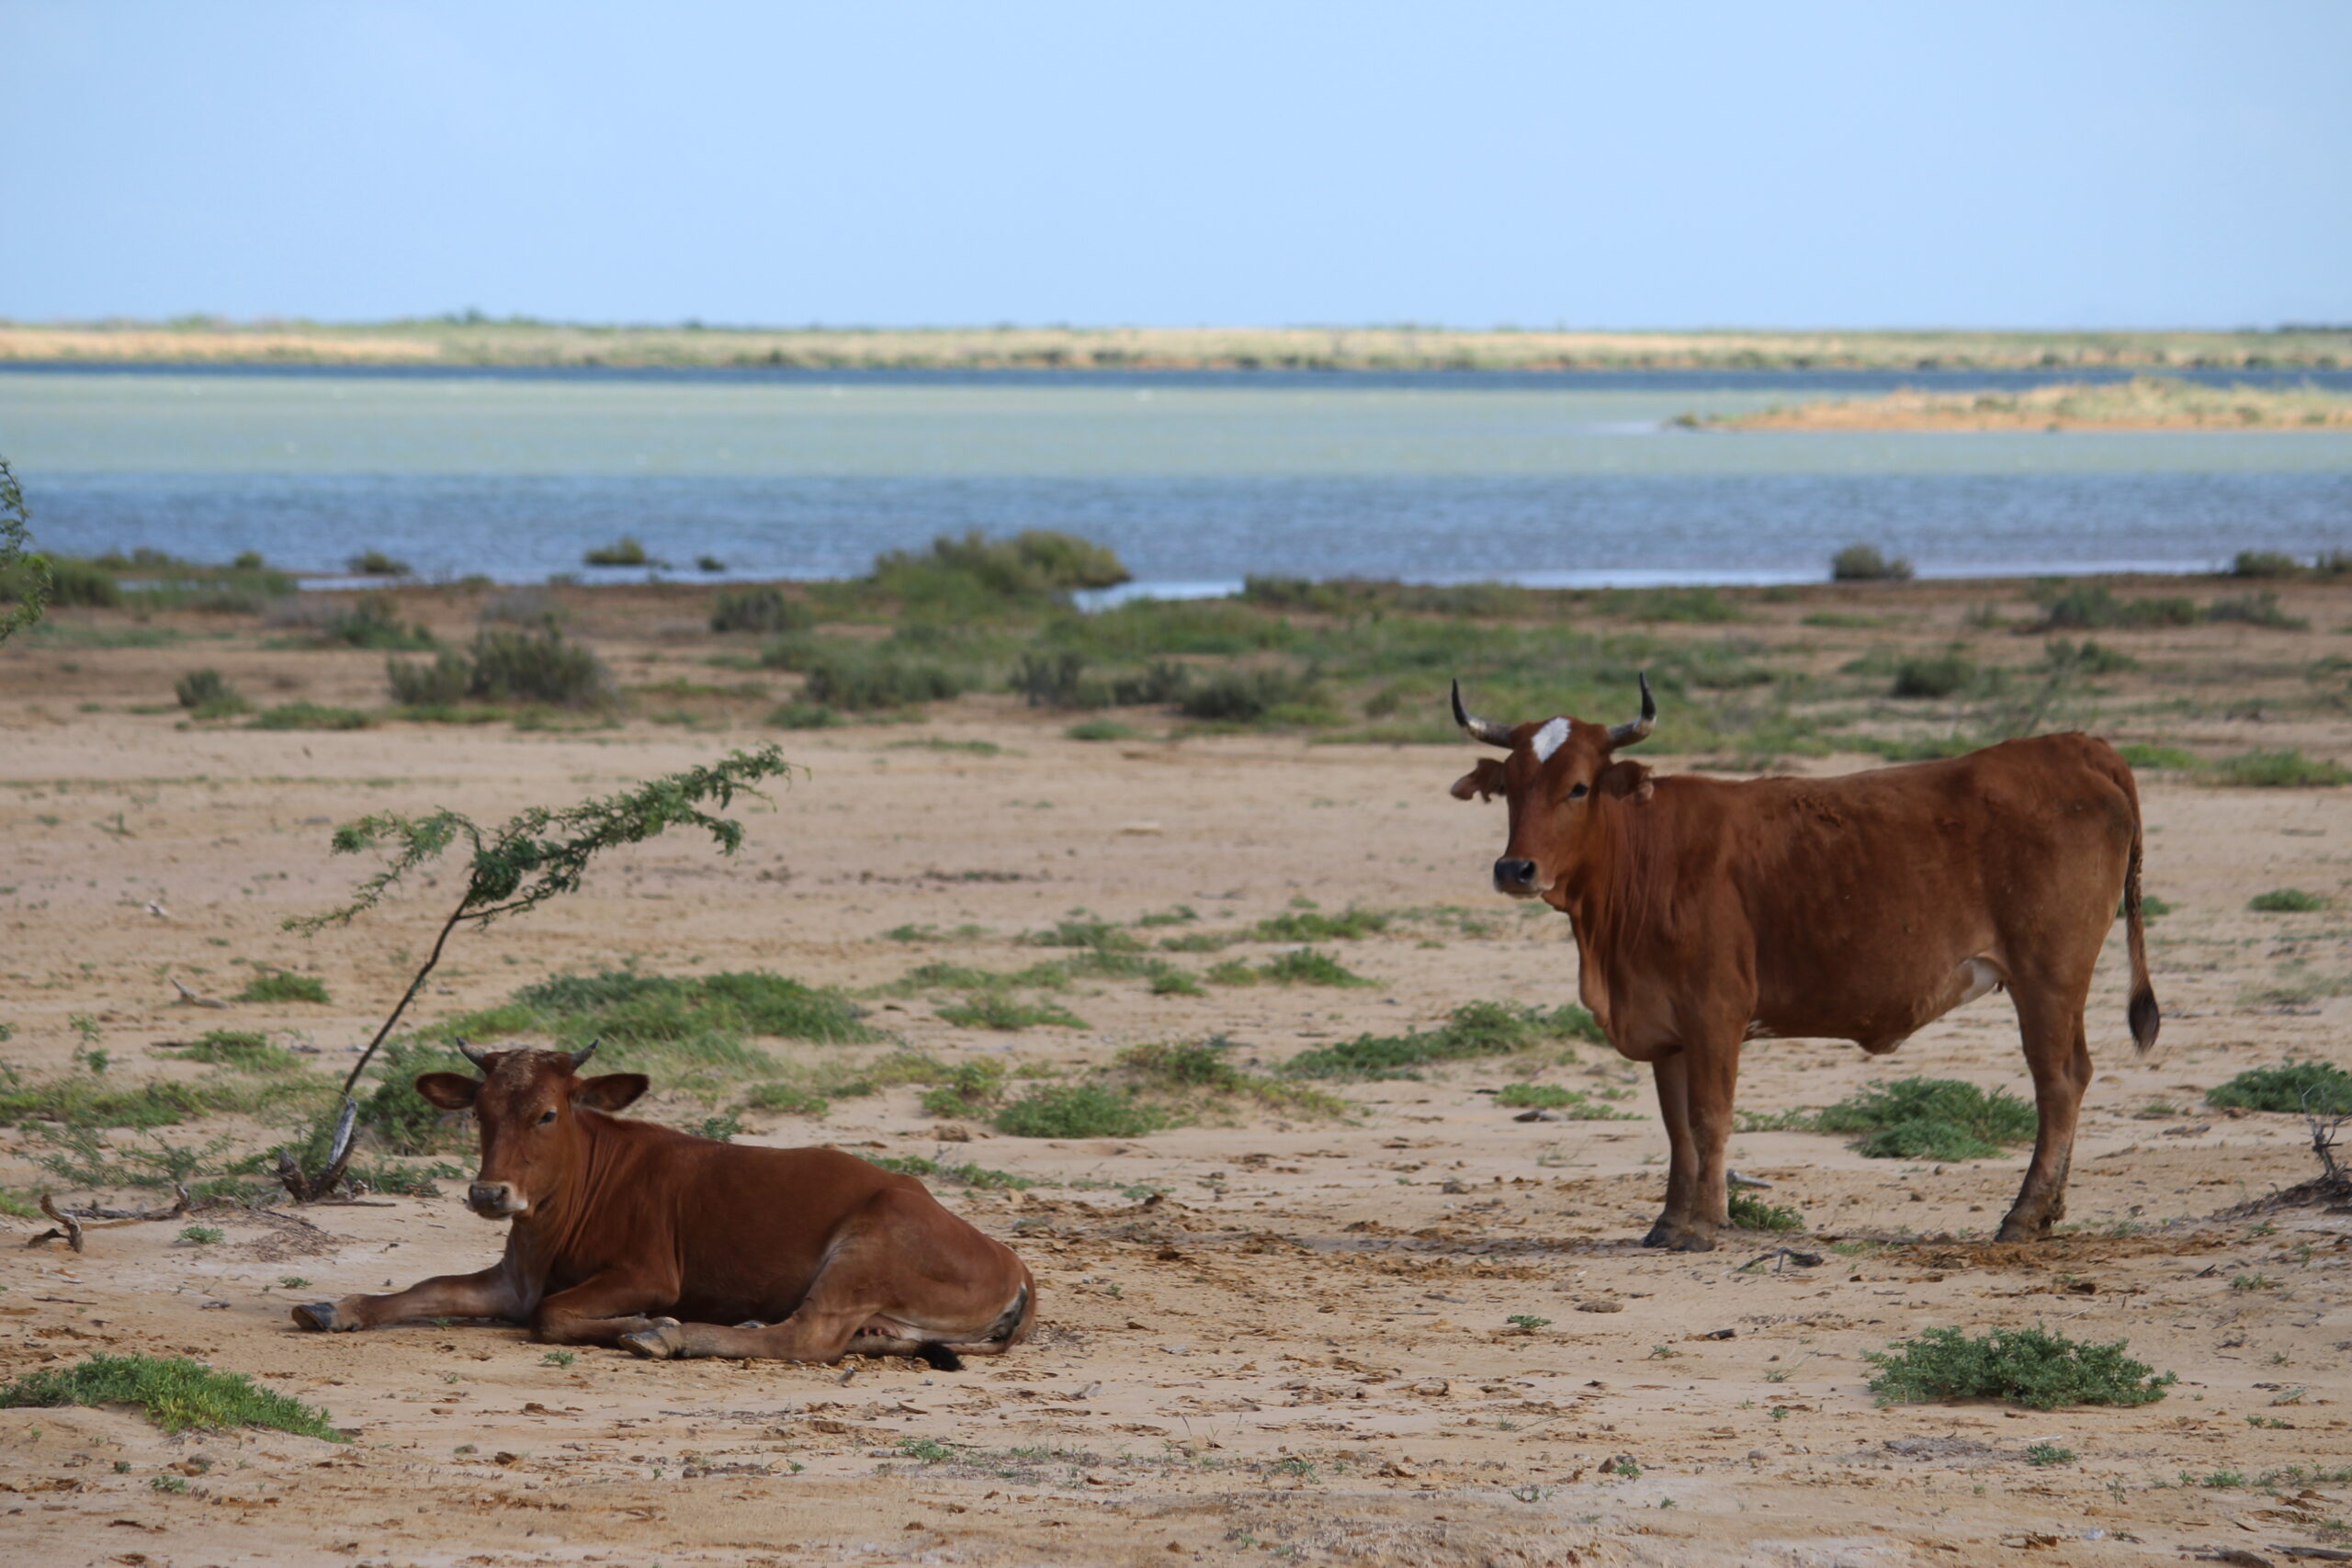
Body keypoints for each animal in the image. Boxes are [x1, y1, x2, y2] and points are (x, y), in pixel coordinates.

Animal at [291, 1043, 1030, 1363]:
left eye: (549, 1113)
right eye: (480, 1110)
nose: (489, 1192)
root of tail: (1012, 1259)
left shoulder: (648, 1272)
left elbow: (554, 1316)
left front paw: (642, 1322)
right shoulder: (514, 1277)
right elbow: (430, 1287)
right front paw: (337, 1307)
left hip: (863, 1250)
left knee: (808, 1339)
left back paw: (668, 1335)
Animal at [1458, 677, 2154, 1250]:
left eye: (1577, 786)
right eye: (1510, 788)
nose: (1515, 869)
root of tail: (2077, 746)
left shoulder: (1715, 1013)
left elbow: (1710, 1118)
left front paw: (1705, 1224)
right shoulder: (1668, 1027)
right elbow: (1677, 1127)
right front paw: (1670, 1222)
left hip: (2048, 976)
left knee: (2057, 1081)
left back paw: (2023, 1214)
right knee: (2074, 1074)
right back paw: (2048, 1210)